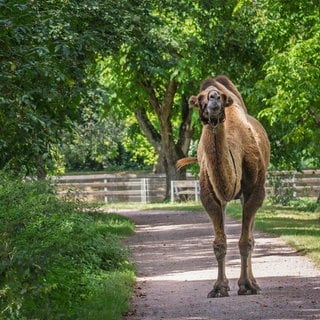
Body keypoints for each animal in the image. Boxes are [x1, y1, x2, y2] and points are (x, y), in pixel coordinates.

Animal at [178, 75, 270, 298]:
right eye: (200, 97)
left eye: (220, 95)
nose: (214, 98)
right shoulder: (210, 194)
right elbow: (219, 243)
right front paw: (219, 287)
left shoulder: (255, 191)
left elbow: (246, 241)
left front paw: (246, 286)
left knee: (251, 236)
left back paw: (254, 283)